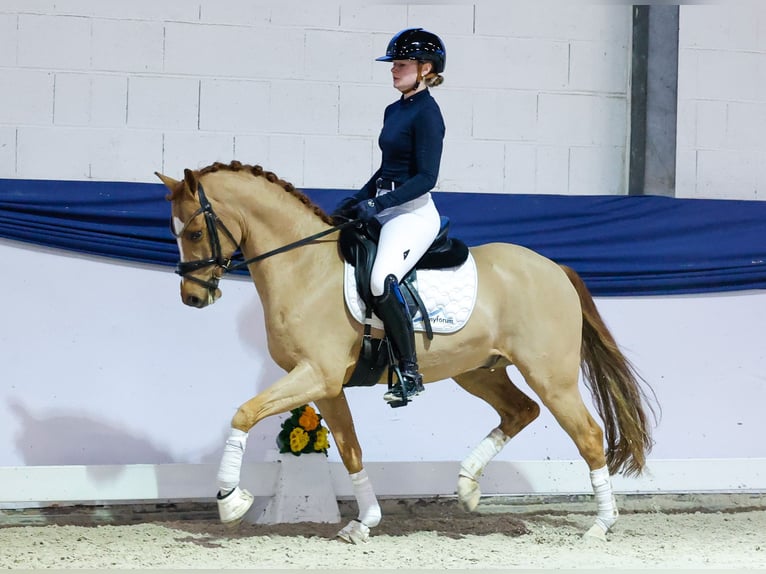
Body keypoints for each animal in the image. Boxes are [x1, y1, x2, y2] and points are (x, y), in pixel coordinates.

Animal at [156, 160, 656, 543]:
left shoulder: (316, 375)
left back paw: (600, 525)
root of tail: (554, 267)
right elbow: (351, 450)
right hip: (478, 370)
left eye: (195, 231)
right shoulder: (326, 385)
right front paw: (364, 523)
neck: (304, 267)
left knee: (587, 434)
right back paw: (467, 487)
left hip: (551, 376)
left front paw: (230, 502)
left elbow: (243, 413)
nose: (192, 298)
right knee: (520, 411)